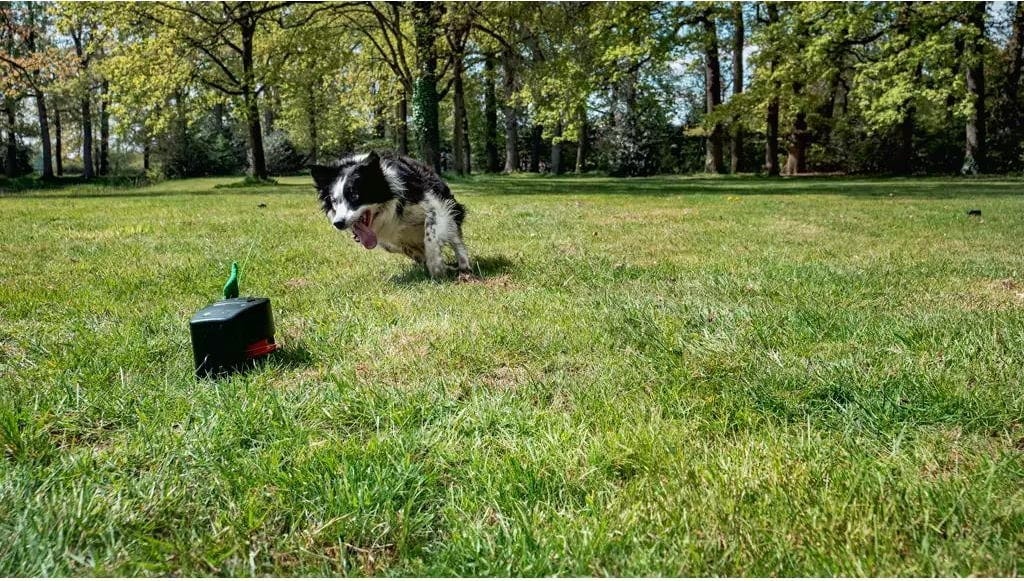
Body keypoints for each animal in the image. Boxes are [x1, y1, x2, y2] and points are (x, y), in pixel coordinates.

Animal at [310, 151, 473, 280]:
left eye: (355, 196)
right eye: (334, 200)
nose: (338, 223)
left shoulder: (433, 204)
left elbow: (431, 236)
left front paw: (437, 267)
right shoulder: (386, 239)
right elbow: (408, 249)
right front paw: (429, 261)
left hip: (451, 208)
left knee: (455, 238)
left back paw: (464, 266)